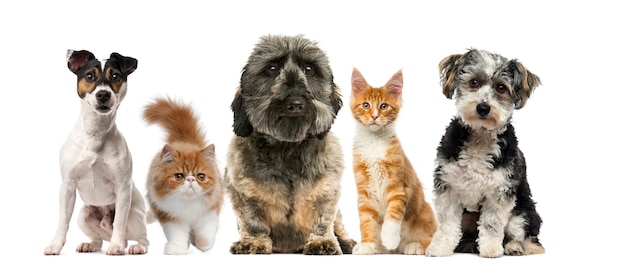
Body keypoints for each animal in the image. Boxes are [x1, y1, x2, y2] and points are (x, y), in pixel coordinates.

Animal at [43, 50, 149, 256]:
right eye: (89, 76)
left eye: (115, 76)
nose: (103, 94)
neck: (96, 133)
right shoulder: (68, 186)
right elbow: (63, 221)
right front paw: (55, 245)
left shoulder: (123, 189)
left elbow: (119, 223)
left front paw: (116, 246)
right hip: (83, 215)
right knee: (98, 239)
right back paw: (90, 244)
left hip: (134, 215)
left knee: (140, 238)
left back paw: (134, 246)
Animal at [143, 97, 223, 255]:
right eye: (179, 176)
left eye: (201, 176)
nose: (190, 179)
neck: (188, 204)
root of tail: (185, 141)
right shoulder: (169, 215)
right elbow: (177, 234)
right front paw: (177, 248)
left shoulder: (210, 209)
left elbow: (206, 231)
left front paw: (203, 244)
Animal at [224, 34, 354, 255]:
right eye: (272, 68)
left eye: (309, 69)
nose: (295, 103)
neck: (288, 147)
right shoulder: (242, 193)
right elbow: (253, 220)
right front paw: (254, 242)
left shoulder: (328, 191)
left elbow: (323, 219)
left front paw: (322, 241)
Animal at [348, 68, 436, 255]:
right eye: (366, 105)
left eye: (383, 106)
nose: (374, 116)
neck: (374, 142)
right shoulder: (365, 193)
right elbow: (366, 222)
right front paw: (367, 245)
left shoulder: (398, 187)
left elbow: (393, 215)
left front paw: (388, 238)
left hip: (426, 212)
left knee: (432, 238)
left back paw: (413, 246)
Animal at [422, 49, 544, 260]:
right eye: (474, 82)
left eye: (501, 88)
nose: (483, 107)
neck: (480, 137)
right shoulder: (448, 184)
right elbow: (446, 225)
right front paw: (440, 248)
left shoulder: (500, 191)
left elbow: (491, 224)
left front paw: (491, 250)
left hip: (522, 214)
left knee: (529, 241)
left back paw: (513, 247)